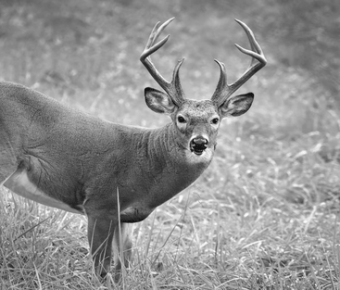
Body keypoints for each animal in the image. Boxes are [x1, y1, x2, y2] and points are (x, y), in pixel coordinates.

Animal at [0, 18, 266, 280]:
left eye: (215, 119)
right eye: (181, 118)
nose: (199, 143)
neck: (145, 163)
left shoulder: (123, 217)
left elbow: (123, 266)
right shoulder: (99, 203)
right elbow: (102, 267)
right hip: (5, 158)